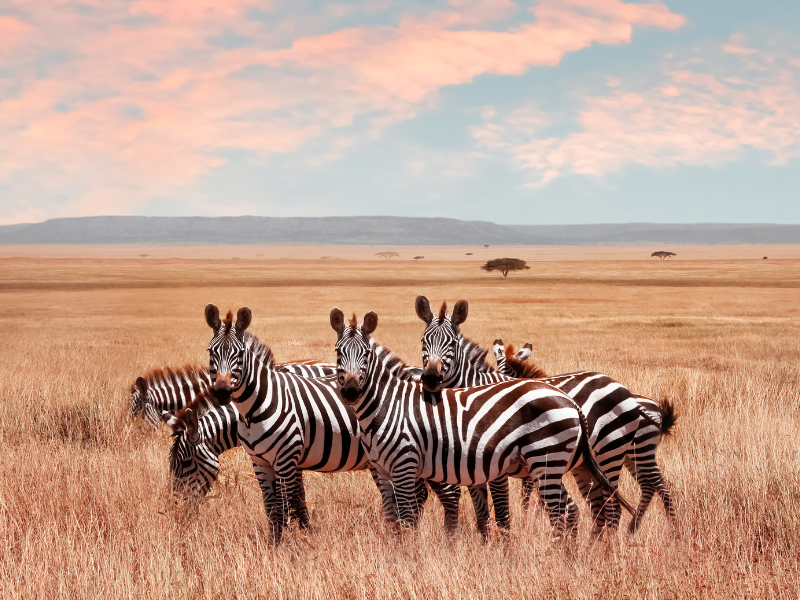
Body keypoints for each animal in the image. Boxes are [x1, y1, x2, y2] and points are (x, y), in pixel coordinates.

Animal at [203, 304, 460, 544]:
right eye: (211, 351)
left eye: (239, 353)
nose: (222, 392)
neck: (257, 405)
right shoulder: (260, 462)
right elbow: (272, 509)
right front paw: (275, 544)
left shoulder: (287, 457)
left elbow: (285, 506)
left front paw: (288, 546)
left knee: (448, 493)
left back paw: (448, 540)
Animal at [416, 298, 648, 532]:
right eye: (423, 341)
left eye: (452, 344)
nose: (431, 378)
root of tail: (620, 386)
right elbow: (483, 512)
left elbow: (503, 509)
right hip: (586, 462)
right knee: (598, 506)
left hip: (609, 452)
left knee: (612, 508)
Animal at [494, 340, 676, 532]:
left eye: (507, 374)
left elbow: (529, 491)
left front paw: (530, 517)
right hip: (630, 454)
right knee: (648, 485)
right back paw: (633, 529)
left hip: (638, 450)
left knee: (658, 485)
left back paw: (673, 528)